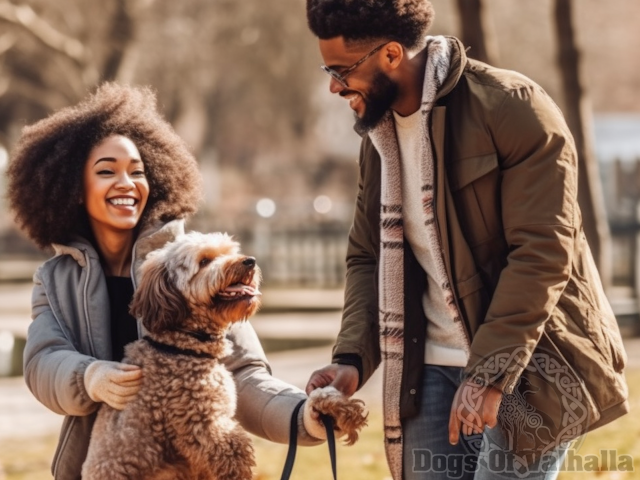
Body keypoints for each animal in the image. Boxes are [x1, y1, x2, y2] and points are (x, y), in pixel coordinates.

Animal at [82, 232, 260, 480]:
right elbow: (235, 452)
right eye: (204, 261)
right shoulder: (202, 424)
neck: (179, 346)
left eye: (229, 252)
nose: (249, 261)